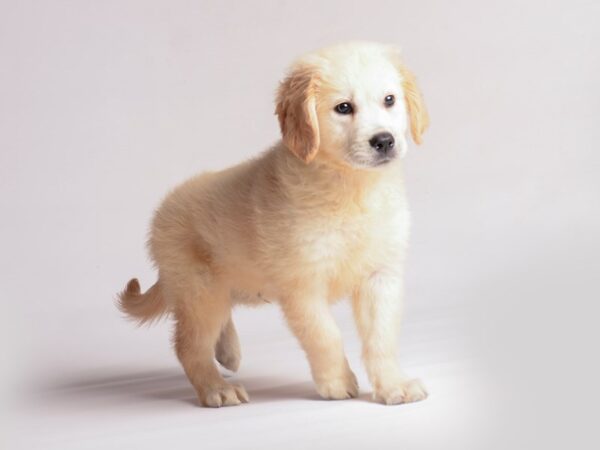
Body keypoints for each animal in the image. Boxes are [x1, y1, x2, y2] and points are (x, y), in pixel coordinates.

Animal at [117, 41, 428, 408]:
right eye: (344, 108)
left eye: (389, 100)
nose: (384, 141)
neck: (353, 187)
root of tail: (162, 211)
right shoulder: (303, 284)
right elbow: (325, 335)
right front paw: (337, 383)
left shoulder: (381, 276)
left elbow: (382, 338)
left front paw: (394, 385)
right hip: (199, 289)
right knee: (189, 345)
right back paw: (216, 389)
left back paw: (228, 352)